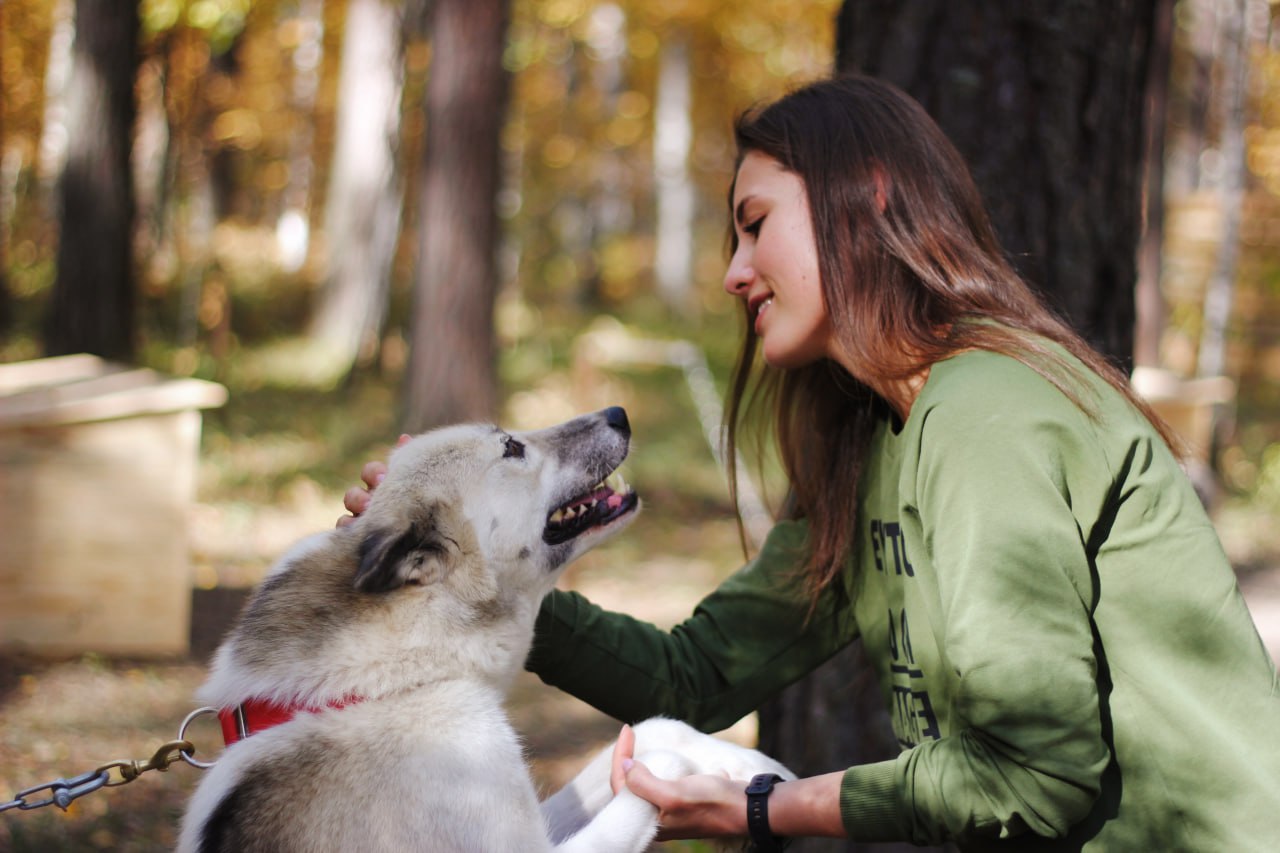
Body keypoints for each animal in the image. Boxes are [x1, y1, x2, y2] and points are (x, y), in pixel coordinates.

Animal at [177, 404, 788, 850]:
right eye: (512, 447)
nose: (618, 412)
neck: (390, 683)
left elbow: (658, 726)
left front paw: (752, 765)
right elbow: (645, 767)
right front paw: (678, 773)